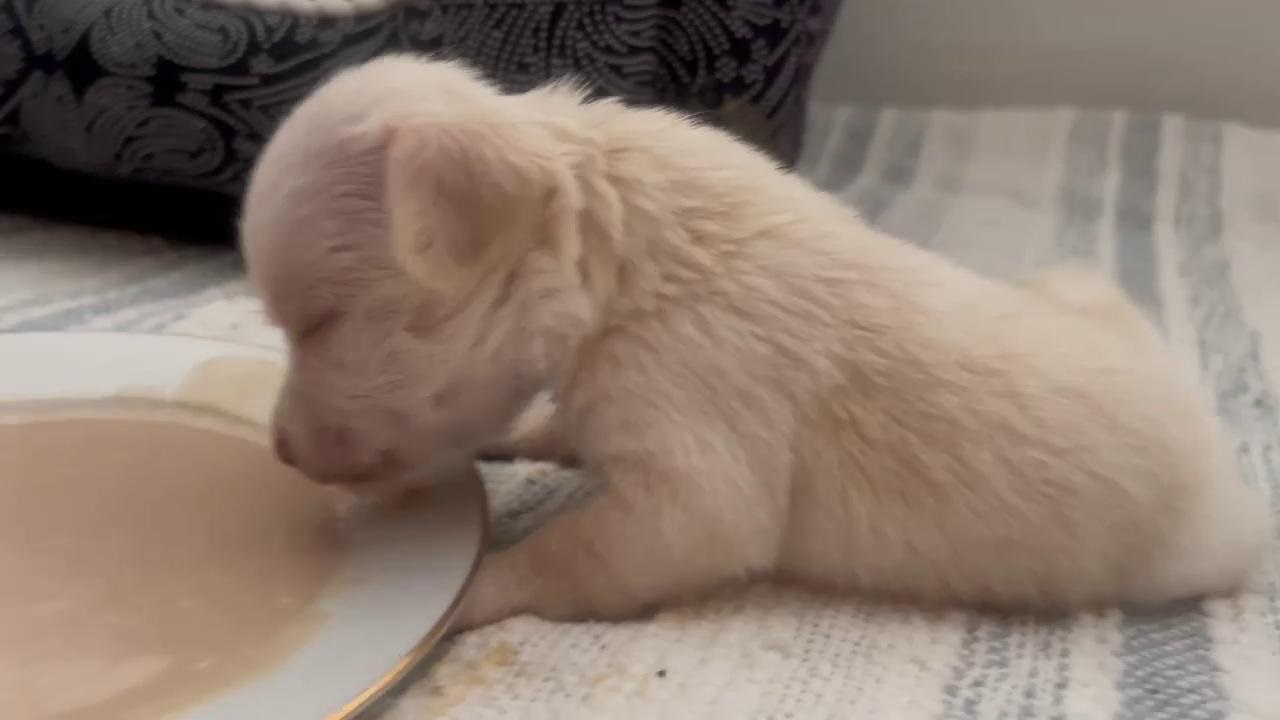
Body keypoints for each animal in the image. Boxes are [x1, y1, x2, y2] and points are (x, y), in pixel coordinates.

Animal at [240, 54, 1269, 627]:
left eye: (320, 321)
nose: (279, 450)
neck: (611, 262)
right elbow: (561, 429)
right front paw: (525, 435)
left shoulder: (691, 457)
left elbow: (591, 548)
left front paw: (477, 590)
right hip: (1083, 290)